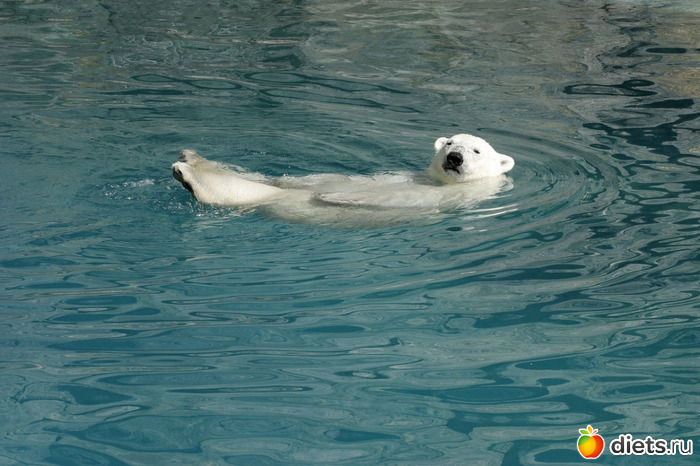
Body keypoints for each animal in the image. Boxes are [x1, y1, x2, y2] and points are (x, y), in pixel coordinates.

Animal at [171, 133, 514, 227]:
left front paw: (338, 197)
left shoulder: (451, 197)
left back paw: (190, 175)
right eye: (449, 143)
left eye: (476, 150)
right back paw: (190, 159)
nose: (454, 158)